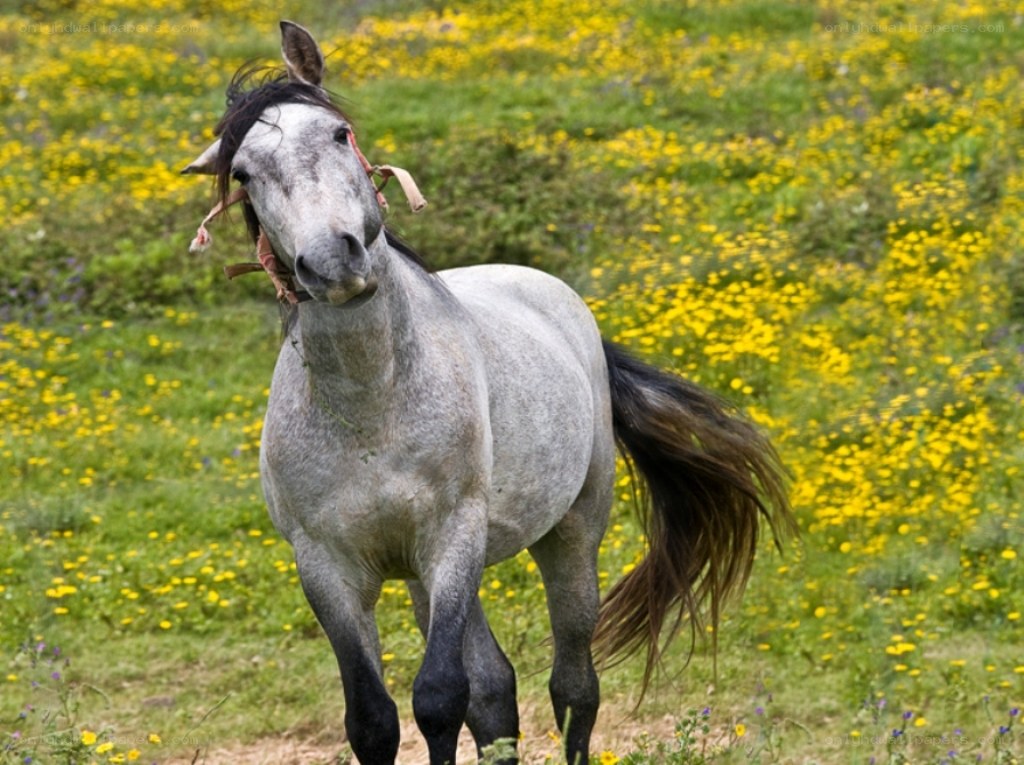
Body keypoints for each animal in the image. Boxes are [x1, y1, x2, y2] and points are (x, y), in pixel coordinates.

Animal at [183, 21, 794, 765]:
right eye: (243, 174)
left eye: (338, 133)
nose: (331, 260)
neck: (371, 402)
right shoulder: (327, 567)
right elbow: (376, 717)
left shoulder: (453, 538)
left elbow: (440, 697)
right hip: (424, 575)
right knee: (497, 690)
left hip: (567, 536)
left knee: (573, 686)